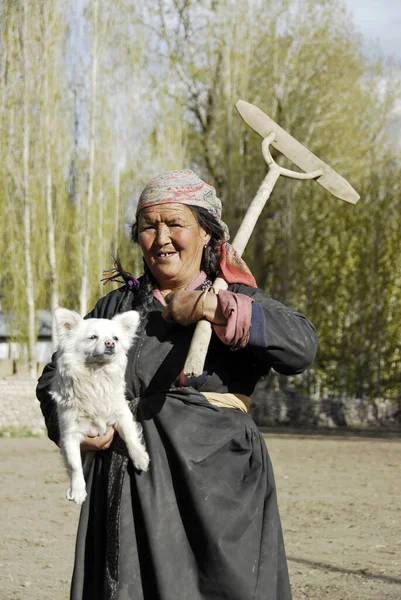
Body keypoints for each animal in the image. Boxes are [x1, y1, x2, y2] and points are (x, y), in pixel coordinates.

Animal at [50, 308, 149, 504]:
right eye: (93, 337)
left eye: (116, 338)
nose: (110, 343)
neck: (96, 375)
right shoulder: (70, 435)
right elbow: (74, 465)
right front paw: (78, 490)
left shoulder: (122, 414)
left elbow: (130, 436)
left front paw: (139, 457)